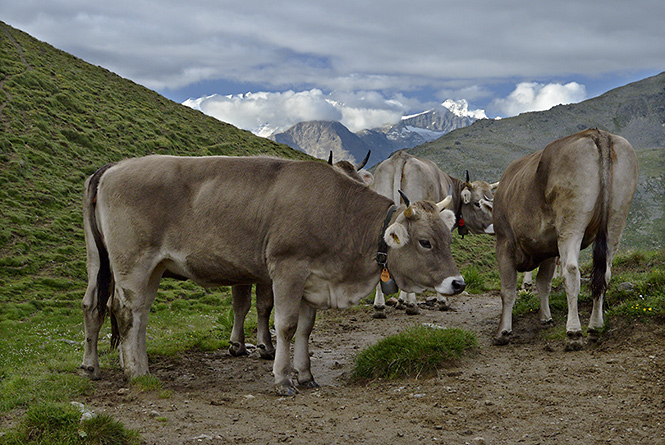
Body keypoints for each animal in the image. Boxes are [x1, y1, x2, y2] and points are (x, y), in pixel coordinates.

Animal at [80, 154, 464, 394]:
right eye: (425, 242)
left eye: (447, 238)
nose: (457, 283)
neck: (339, 214)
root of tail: (116, 166)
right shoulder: (287, 269)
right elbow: (285, 325)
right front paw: (282, 379)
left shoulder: (314, 279)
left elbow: (306, 330)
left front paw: (305, 375)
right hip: (133, 264)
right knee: (128, 312)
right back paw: (137, 373)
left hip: (114, 264)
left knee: (104, 308)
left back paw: (99, 367)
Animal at [370, 151, 496, 318]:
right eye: (477, 203)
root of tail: (401, 156)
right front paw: (442, 300)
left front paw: (401, 301)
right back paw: (412, 305)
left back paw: (379, 307)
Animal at [492, 126, 640, 348]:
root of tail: (597, 134)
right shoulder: (549, 250)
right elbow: (543, 284)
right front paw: (545, 318)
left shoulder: (504, 244)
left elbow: (507, 290)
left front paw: (503, 331)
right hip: (616, 219)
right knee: (604, 274)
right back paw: (595, 327)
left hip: (572, 223)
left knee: (571, 271)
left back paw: (574, 332)